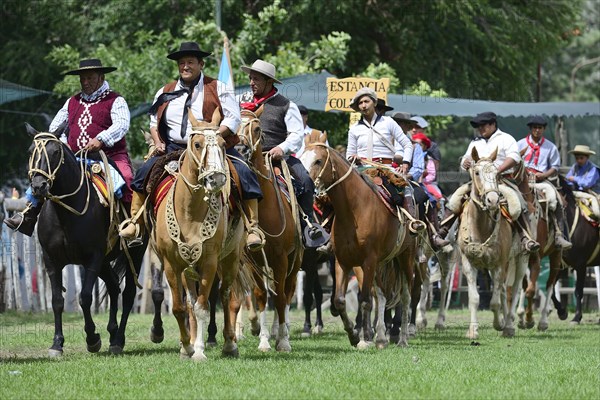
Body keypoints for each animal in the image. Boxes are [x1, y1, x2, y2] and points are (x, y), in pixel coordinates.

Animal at [25, 123, 148, 354]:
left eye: (55, 152)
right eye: (30, 152)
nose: (38, 186)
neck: (65, 211)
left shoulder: (93, 257)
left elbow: (85, 297)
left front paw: (92, 338)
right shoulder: (51, 260)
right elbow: (57, 300)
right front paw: (57, 343)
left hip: (135, 253)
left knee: (127, 294)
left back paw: (118, 339)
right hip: (105, 262)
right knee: (113, 286)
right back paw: (112, 332)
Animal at [152, 121, 248, 360]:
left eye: (222, 144)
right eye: (197, 144)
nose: (217, 179)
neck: (189, 212)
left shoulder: (210, 262)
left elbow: (203, 307)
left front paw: (199, 351)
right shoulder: (172, 265)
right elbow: (180, 307)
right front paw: (187, 346)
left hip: (231, 259)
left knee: (226, 295)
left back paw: (229, 344)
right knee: (191, 302)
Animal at [233, 108, 302, 352]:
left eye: (257, 128)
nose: (241, 149)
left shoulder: (281, 259)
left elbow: (280, 298)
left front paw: (283, 341)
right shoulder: (253, 261)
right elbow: (261, 295)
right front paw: (263, 340)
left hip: (294, 262)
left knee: (287, 293)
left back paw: (283, 331)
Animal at [300, 142, 418, 348]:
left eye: (318, 160)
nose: (304, 184)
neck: (354, 210)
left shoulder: (368, 261)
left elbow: (364, 300)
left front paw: (364, 338)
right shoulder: (343, 261)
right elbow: (339, 300)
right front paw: (354, 335)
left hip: (405, 258)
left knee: (405, 296)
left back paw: (402, 338)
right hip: (381, 264)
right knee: (381, 295)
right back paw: (381, 337)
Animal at [458, 148, 528, 340]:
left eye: (496, 174)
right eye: (476, 172)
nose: (492, 200)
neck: (481, 226)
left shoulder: (499, 264)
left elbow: (494, 302)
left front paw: (499, 324)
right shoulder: (468, 263)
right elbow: (474, 298)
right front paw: (472, 330)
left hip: (520, 258)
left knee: (515, 288)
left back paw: (509, 325)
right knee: (504, 289)